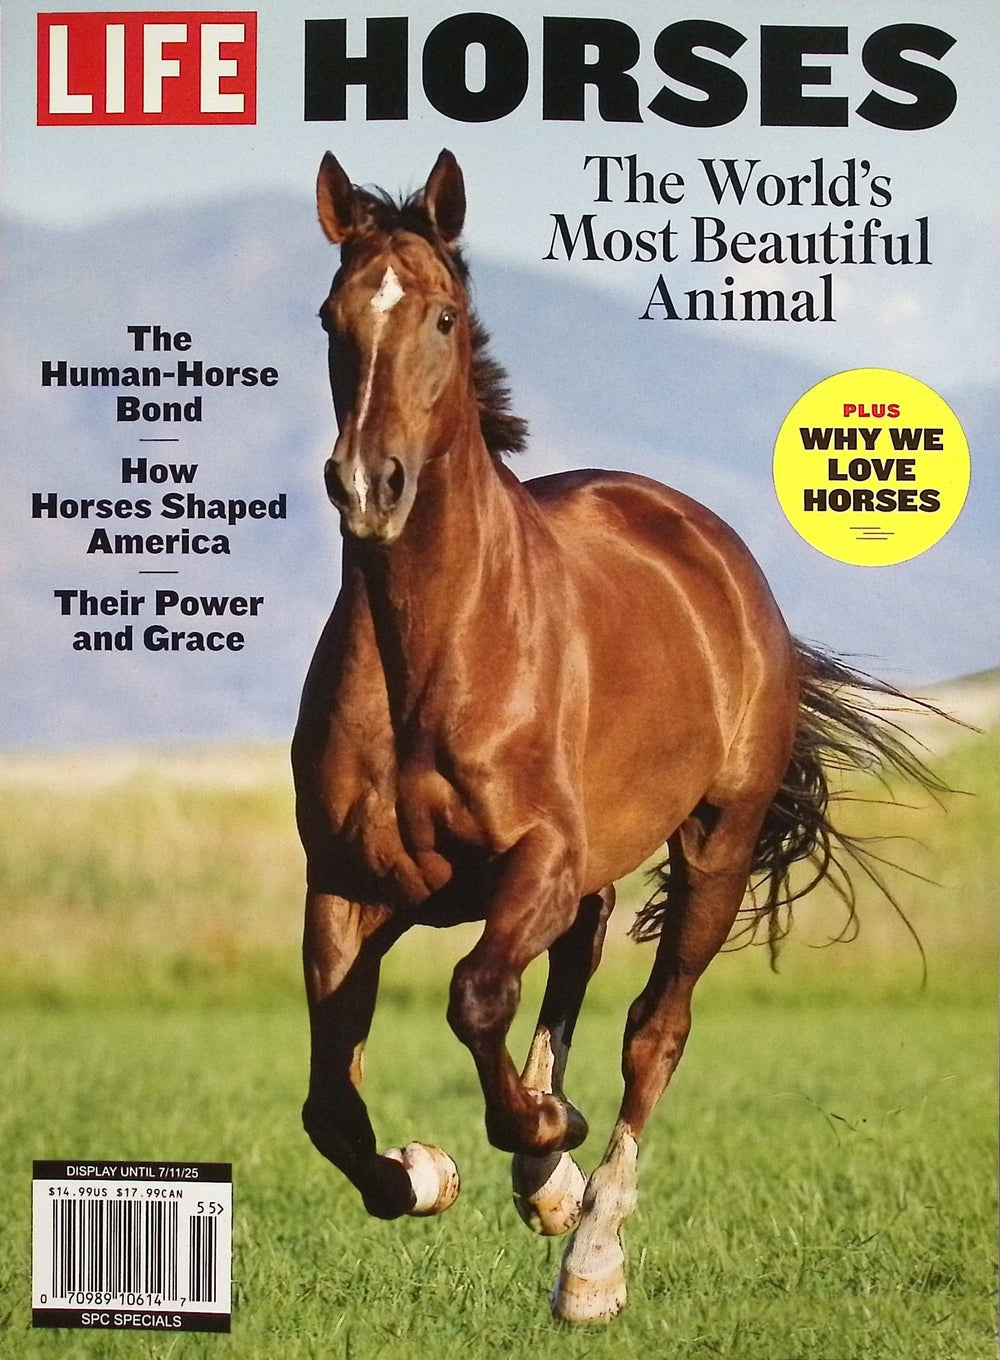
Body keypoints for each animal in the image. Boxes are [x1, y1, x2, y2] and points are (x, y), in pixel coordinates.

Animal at [292, 149, 939, 1324]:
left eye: (443, 316)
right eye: (331, 317)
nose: (369, 485)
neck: (432, 655)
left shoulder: (537, 861)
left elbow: (477, 998)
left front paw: (547, 1156)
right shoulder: (347, 888)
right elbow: (331, 1102)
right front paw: (431, 1172)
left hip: (713, 849)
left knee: (652, 1028)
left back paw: (588, 1251)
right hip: (583, 880)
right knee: (572, 980)